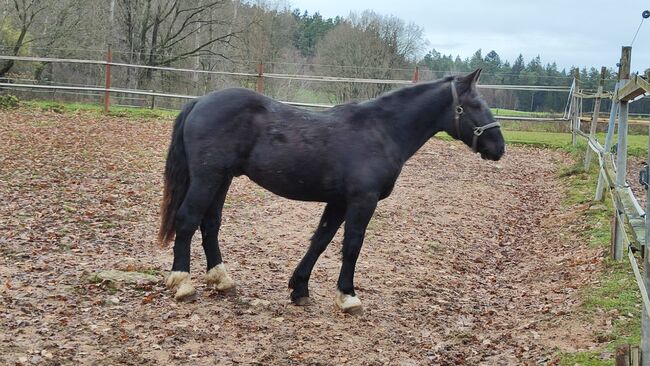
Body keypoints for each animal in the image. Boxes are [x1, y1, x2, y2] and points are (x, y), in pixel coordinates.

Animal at [157, 69, 502, 314]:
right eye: (474, 104)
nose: (499, 147)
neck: (381, 131)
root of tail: (200, 102)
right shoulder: (362, 201)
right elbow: (352, 246)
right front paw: (348, 296)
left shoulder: (337, 202)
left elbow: (320, 241)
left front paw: (299, 289)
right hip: (208, 177)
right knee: (188, 220)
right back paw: (183, 282)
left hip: (222, 179)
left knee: (210, 223)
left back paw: (222, 280)